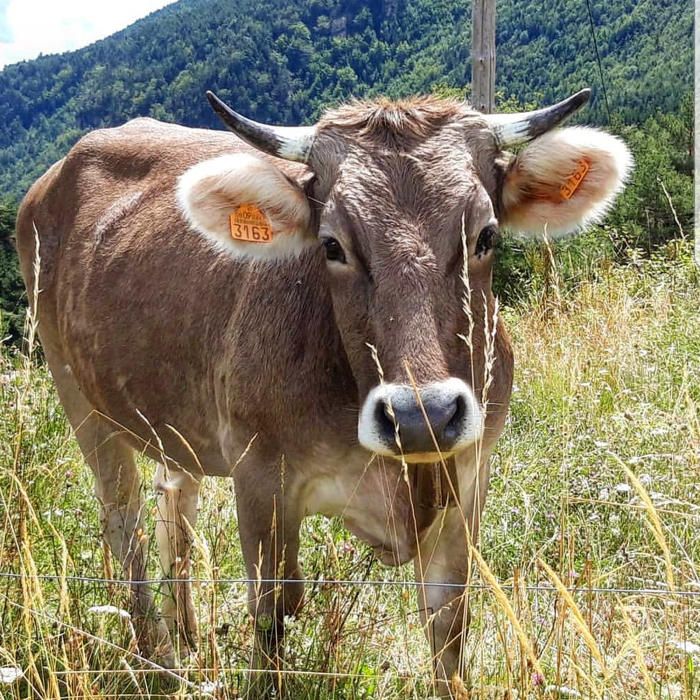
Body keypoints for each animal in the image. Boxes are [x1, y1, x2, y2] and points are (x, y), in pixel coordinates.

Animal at [15, 87, 628, 696]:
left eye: (486, 236)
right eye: (332, 245)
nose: (420, 416)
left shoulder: (468, 480)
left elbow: (449, 625)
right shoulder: (260, 477)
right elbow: (273, 615)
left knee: (176, 504)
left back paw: (187, 640)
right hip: (78, 395)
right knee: (124, 522)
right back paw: (159, 662)